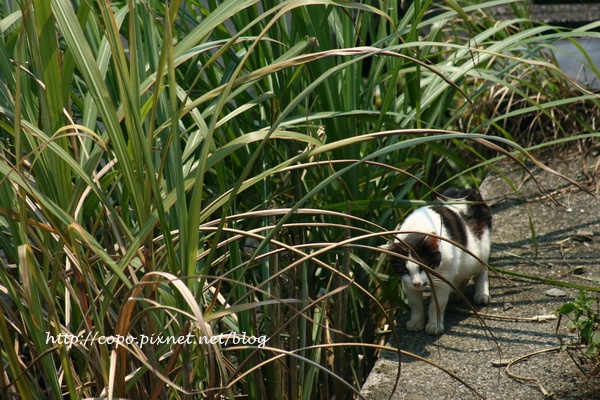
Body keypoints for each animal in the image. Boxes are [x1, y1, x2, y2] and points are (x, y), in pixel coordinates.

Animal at [384, 188, 492, 334]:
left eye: (424, 267)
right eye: (404, 270)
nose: (417, 283)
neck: (417, 228)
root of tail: (467, 190)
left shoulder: (444, 276)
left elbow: (437, 304)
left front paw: (434, 326)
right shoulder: (406, 282)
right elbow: (415, 303)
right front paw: (416, 322)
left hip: (480, 250)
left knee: (481, 270)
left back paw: (481, 294)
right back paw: (456, 291)